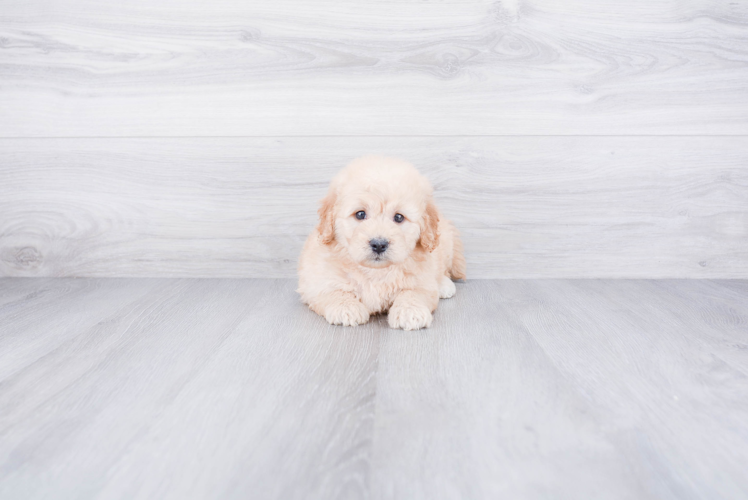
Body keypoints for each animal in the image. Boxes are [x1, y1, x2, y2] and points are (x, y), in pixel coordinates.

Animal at [296, 155, 462, 328]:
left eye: (399, 217)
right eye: (360, 214)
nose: (379, 244)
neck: (375, 272)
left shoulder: (422, 279)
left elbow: (414, 292)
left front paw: (410, 311)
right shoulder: (315, 281)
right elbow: (333, 291)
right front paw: (347, 308)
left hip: (445, 245)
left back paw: (444, 285)